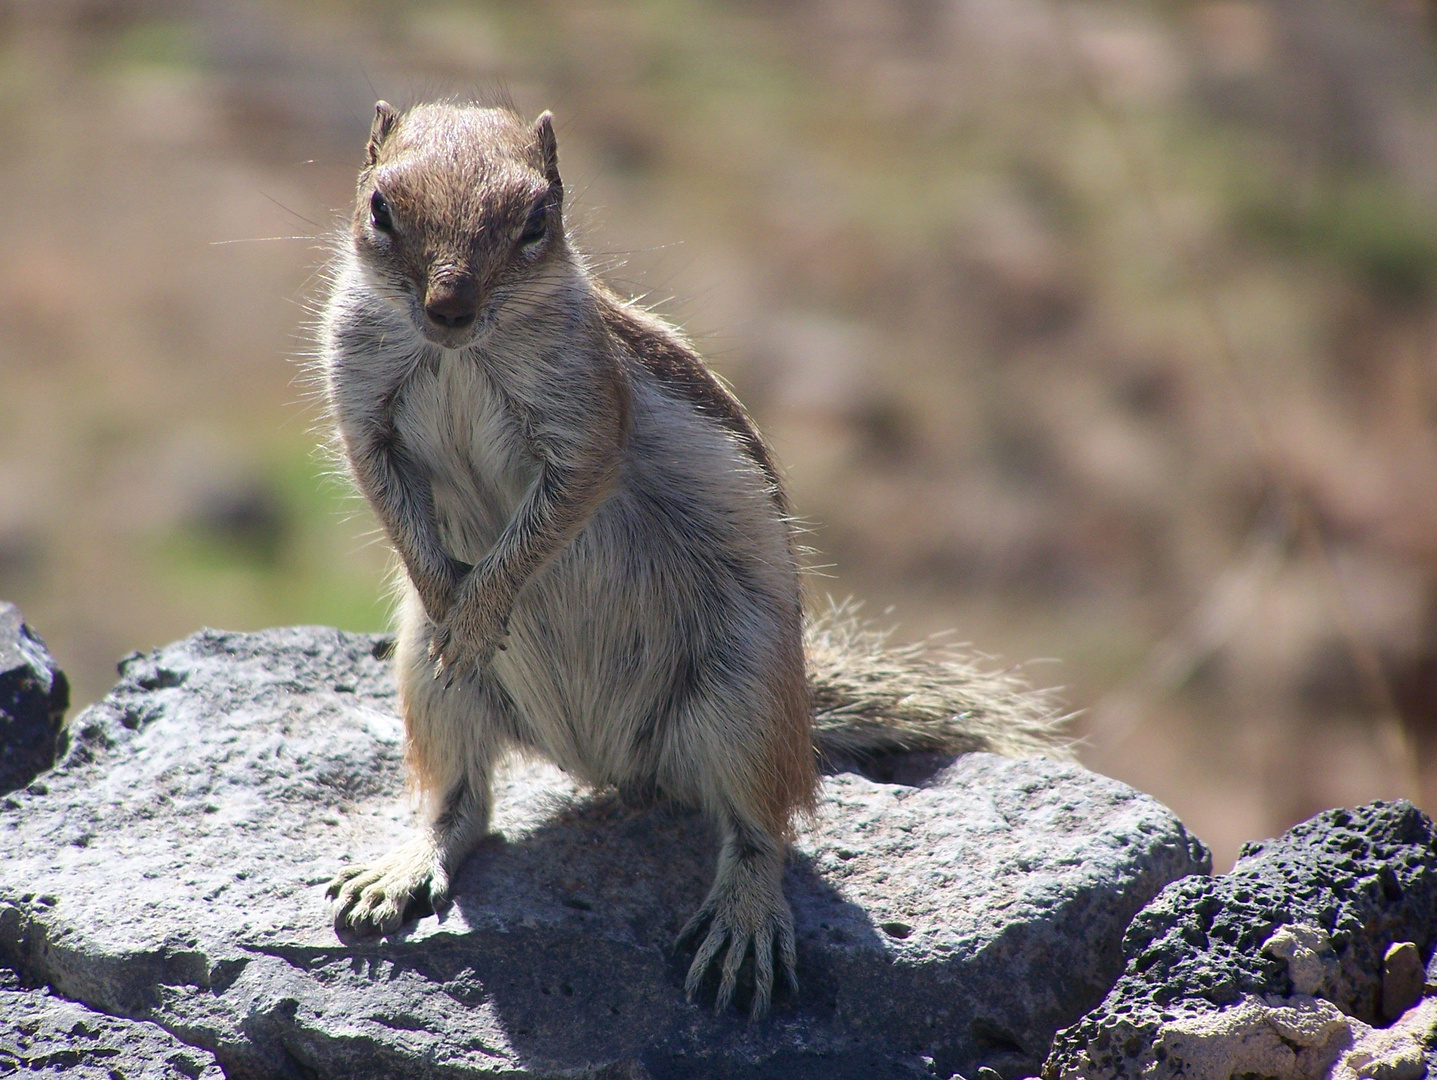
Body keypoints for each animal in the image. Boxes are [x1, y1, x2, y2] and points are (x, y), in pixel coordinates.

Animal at [323, 96, 1069, 1016]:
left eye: (537, 219)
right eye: (380, 207)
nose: (448, 308)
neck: (457, 356)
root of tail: (608, 764)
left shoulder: (588, 414)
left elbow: (560, 506)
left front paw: (484, 604)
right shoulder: (359, 397)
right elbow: (379, 481)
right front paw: (444, 593)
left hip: (744, 694)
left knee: (763, 827)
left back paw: (743, 925)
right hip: (428, 686)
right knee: (458, 801)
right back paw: (399, 868)